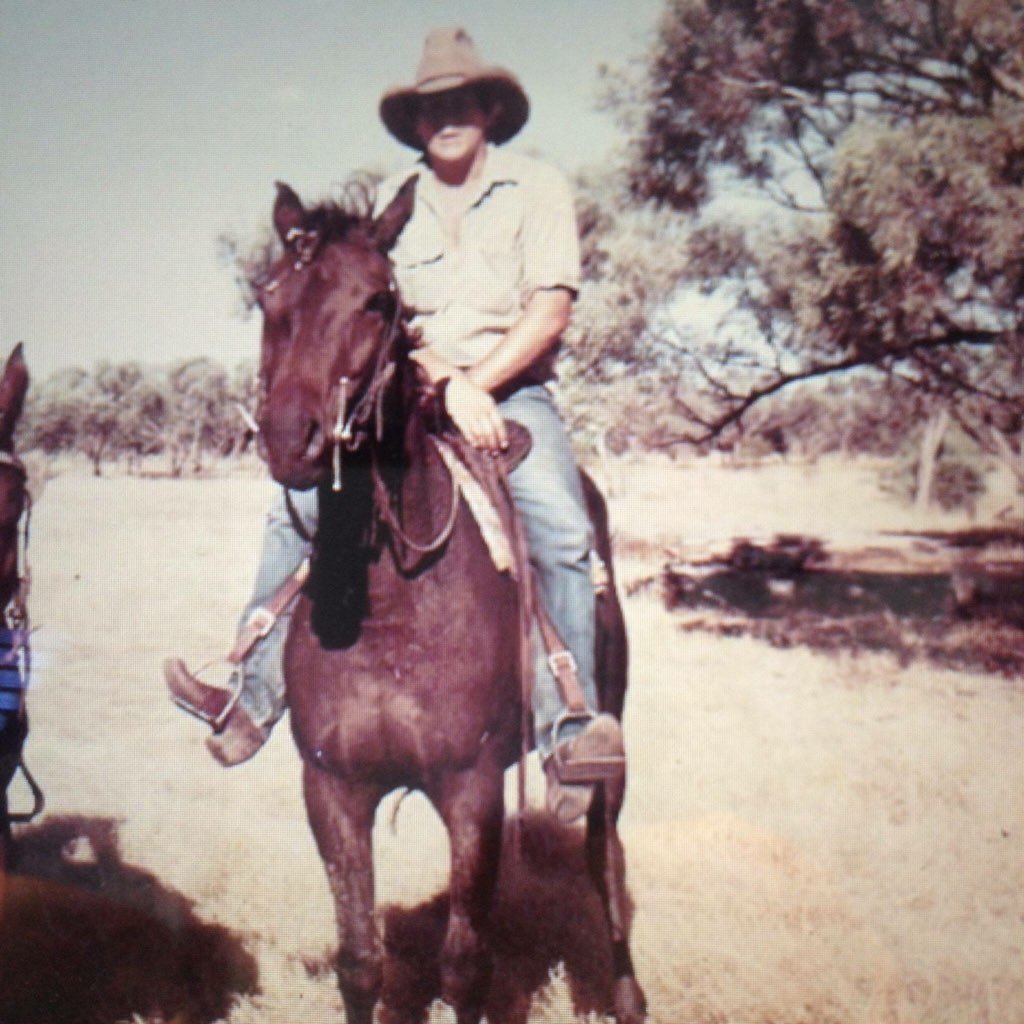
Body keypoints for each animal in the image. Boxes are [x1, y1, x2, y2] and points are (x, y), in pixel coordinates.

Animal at [252, 184, 643, 1024]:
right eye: (268, 296)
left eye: (378, 300)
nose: (291, 437)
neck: (388, 611)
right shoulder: (333, 790)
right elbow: (361, 961)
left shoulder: (471, 789)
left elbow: (465, 965)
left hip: (607, 744)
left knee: (605, 860)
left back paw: (628, 994)